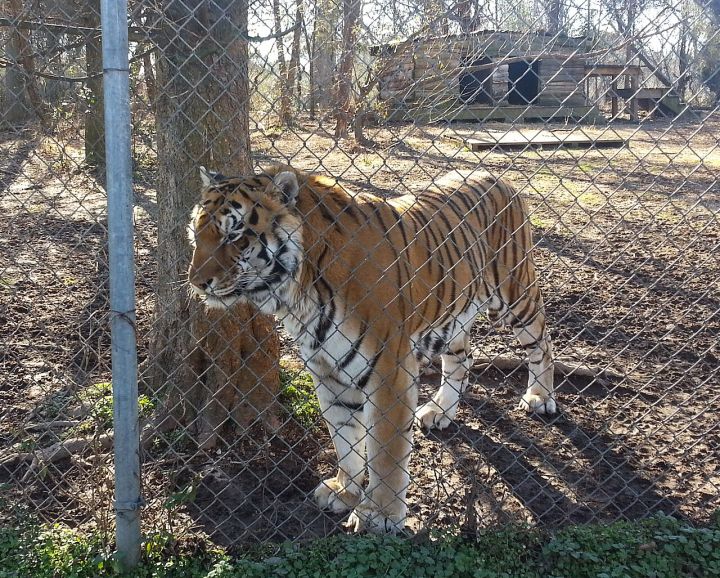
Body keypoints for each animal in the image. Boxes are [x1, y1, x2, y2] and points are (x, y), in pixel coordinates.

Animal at [187, 164, 556, 534]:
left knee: (543, 341)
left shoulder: (389, 370)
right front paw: (344, 491)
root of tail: (499, 177)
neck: (297, 292)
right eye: (195, 234)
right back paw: (440, 411)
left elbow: (385, 451)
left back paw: (540, 397)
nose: (196, 283)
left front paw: (380, 515)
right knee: (463, 359)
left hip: (515, 295)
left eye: (234, 236)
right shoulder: (327, 369)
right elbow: (344, 436)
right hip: (454, 312)